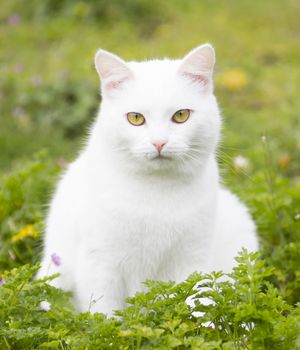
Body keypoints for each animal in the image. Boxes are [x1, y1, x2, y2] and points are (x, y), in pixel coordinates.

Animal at [37, 43, 258, 314]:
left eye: (181, 115)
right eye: (135, 118)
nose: (159, 142)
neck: (156, 190)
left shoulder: (194, 259)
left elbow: (199, 305)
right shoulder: (101, 263)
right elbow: (104, 313)